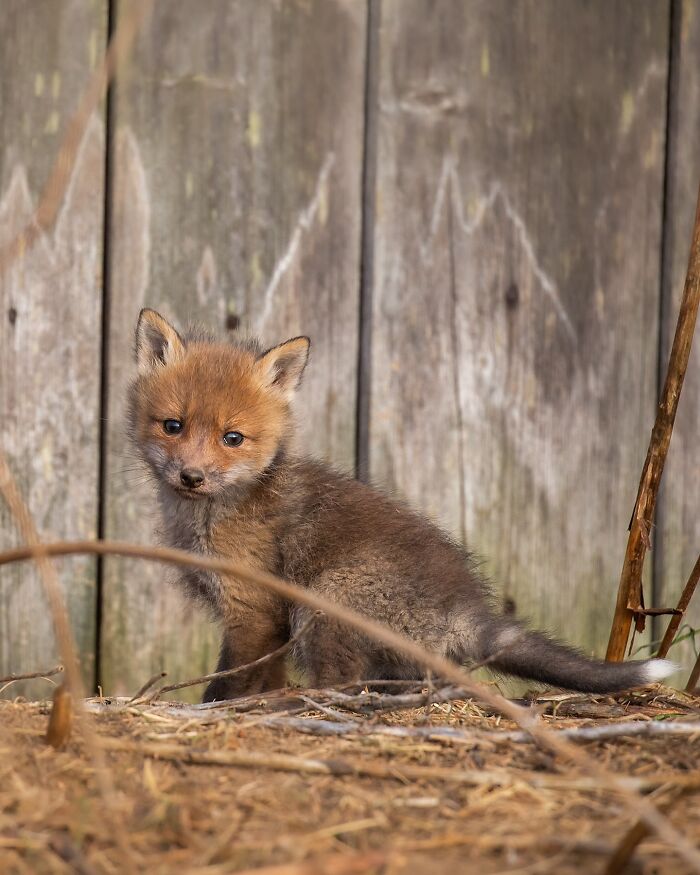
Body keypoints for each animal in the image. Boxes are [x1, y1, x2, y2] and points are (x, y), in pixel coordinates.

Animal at [129, 308, 676, 702]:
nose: (191, 477)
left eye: (233, 438)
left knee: (342, 683)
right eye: (173, 426)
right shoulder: (261, 621)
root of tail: (463, 608)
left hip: (325, 604)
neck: (215, 514)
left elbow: (229, 683)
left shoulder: (256, 609)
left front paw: (219, 710)